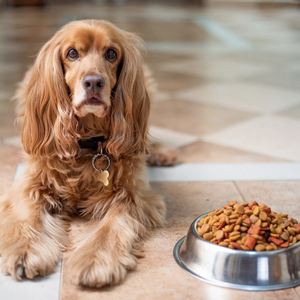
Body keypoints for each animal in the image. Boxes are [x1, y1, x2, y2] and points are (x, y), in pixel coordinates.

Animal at [0, 19, 173, 288]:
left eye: (111, 54)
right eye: (72, 53)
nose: (93, 82)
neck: (87, 143)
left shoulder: (133, 196)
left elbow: (110, 228)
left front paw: (95, 261)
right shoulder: (30, 185)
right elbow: (29, 217)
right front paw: (25, 251)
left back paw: (161, 153)